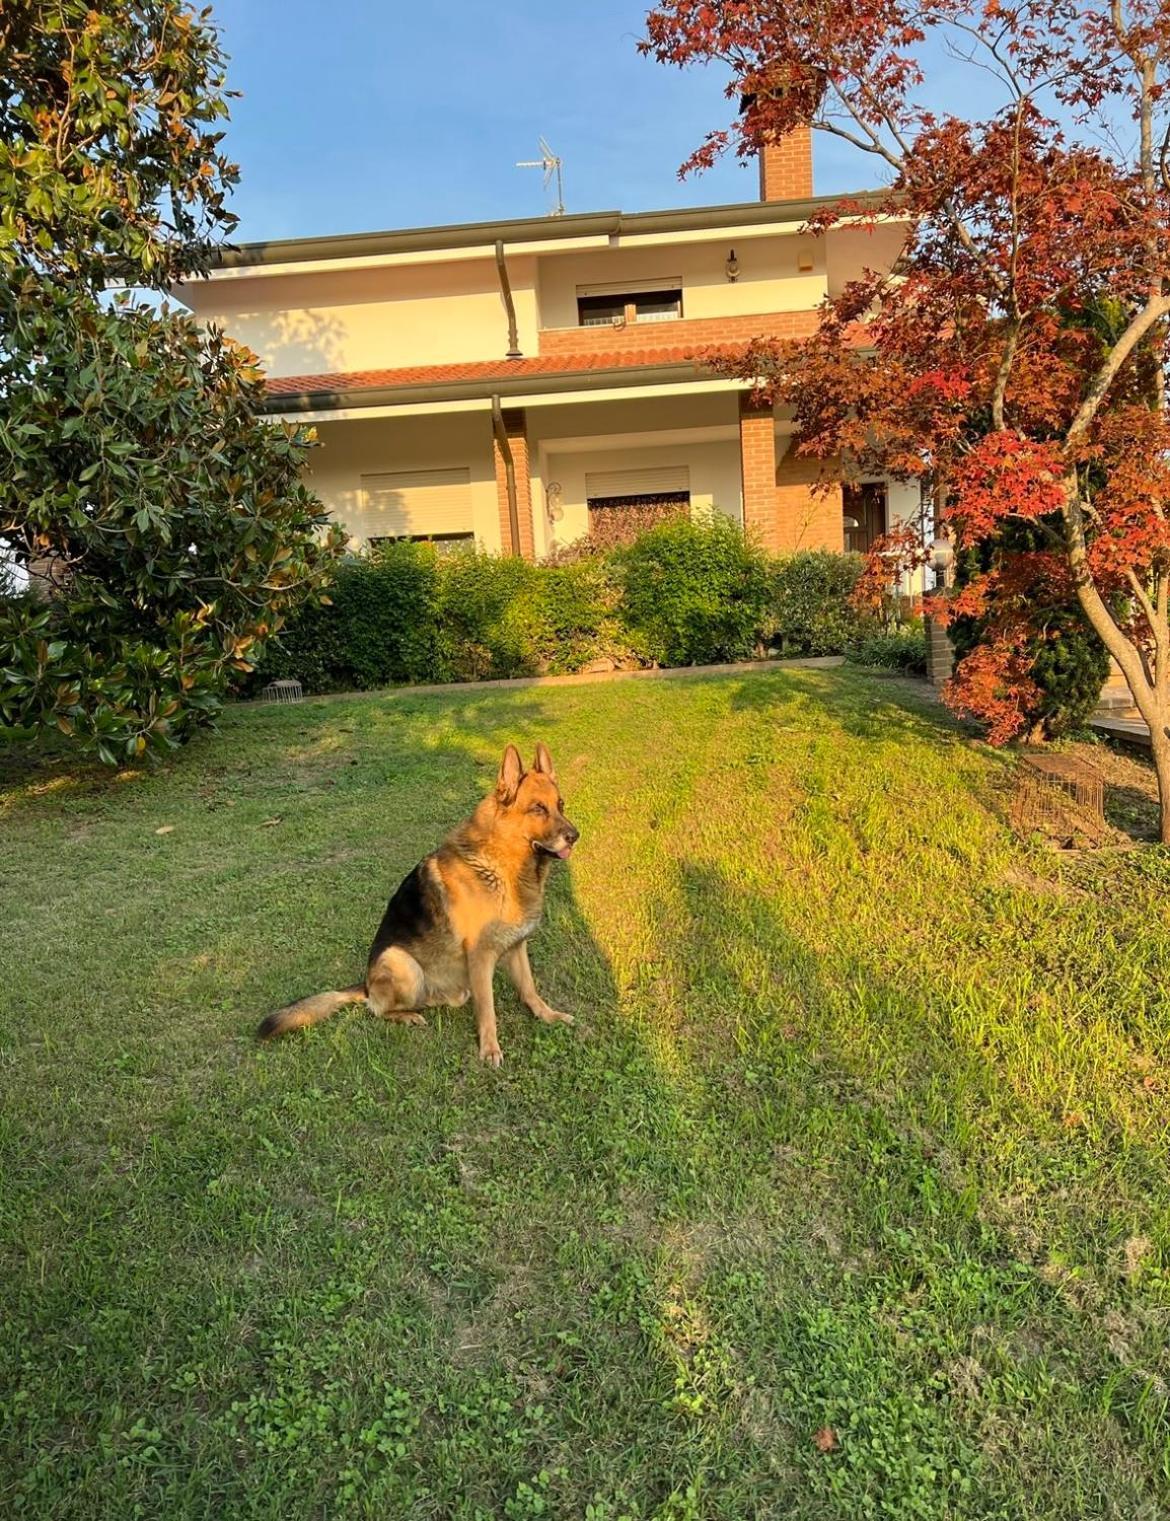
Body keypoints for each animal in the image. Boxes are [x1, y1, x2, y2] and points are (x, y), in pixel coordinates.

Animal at [260, 742, 578, 1064]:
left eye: (560, 805)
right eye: (537, 808)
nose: (574, 836)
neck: (503, 865)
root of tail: (366, 983)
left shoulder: (517, 947)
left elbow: (529, 989)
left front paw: (548, 1015)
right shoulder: (480, 957)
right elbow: (488, 1009)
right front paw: (490, 1049)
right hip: (403, 964)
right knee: (377, 1009)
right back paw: (407, 1015)